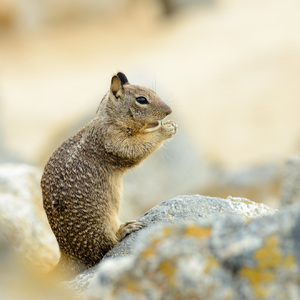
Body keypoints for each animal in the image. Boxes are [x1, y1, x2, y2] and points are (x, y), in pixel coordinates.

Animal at [41, 71, 179, 278]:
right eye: (141, 99)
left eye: (153, 91)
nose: (169, 111)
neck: (108, 118)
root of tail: (67, 255)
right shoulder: (112, 140)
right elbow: (135, 149)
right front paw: (166, 128)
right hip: (102, 224)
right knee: (106, 247)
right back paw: (126, 229)